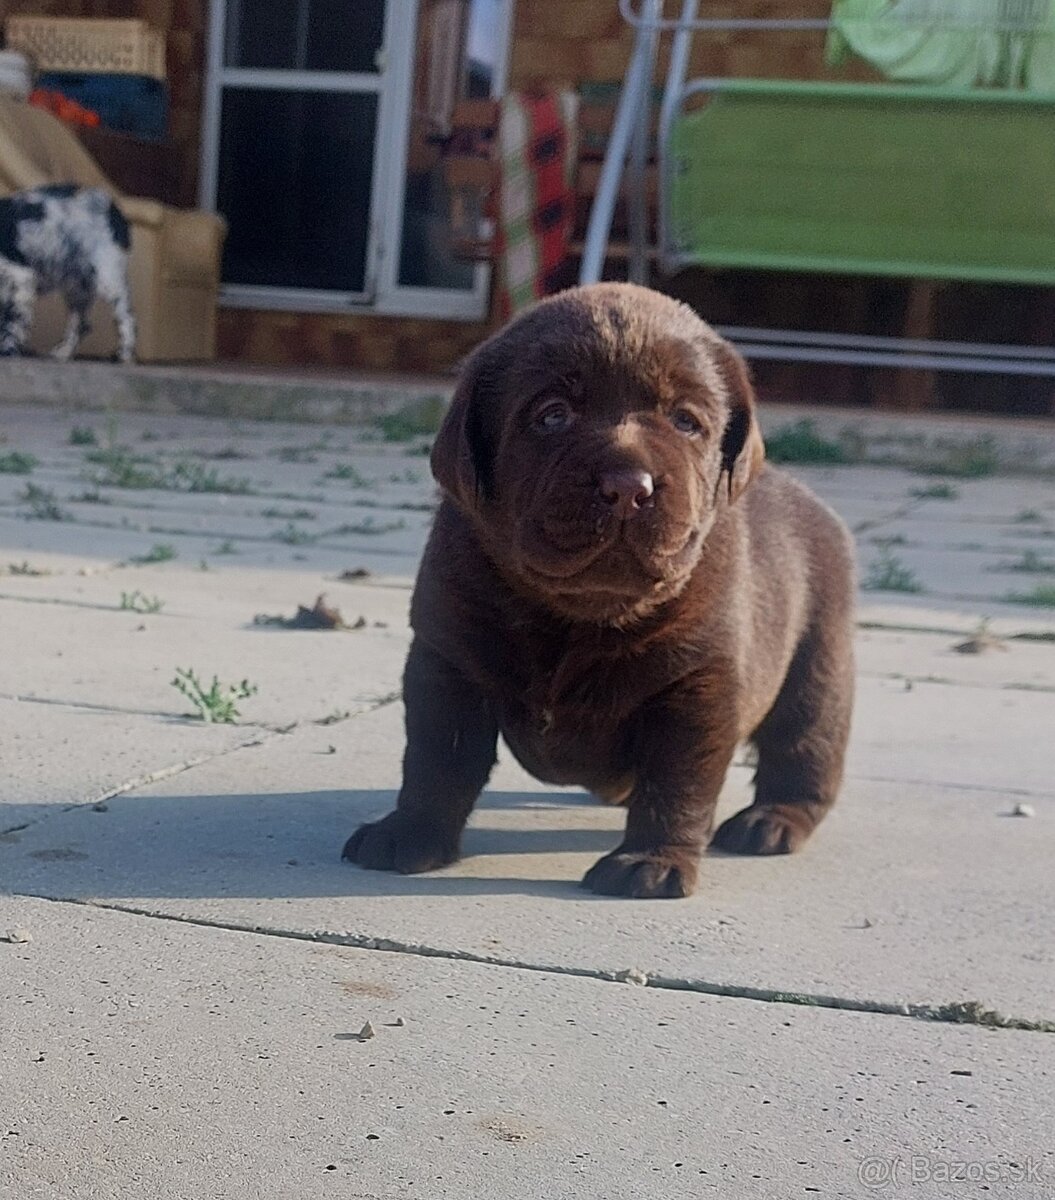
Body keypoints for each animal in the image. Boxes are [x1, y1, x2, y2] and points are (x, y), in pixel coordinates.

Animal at [0, 182, 136, 360]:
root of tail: (113, 210)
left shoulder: (19, 278)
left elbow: (12, 322)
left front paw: (7, 350)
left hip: (108, 276)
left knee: (126, 317)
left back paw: (125, 355)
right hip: (77, 286)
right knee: (82, 324)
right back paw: (63, 351)